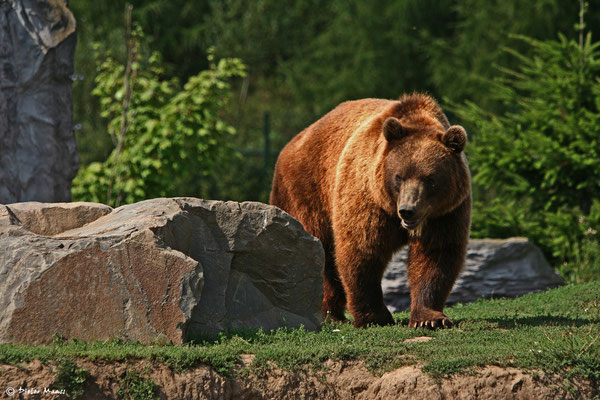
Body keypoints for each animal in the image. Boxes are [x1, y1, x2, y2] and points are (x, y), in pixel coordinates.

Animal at [270, 94, 472, 328]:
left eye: (430, 179)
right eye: (399, 177)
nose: (407, 210)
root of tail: (294, 140)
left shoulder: (446, 213)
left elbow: (437, 254)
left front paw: (430, 319)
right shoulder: (368, 197)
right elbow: (362, 249)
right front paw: (375, 316)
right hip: (307, 191)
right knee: (318, 250)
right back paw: (331, 315)